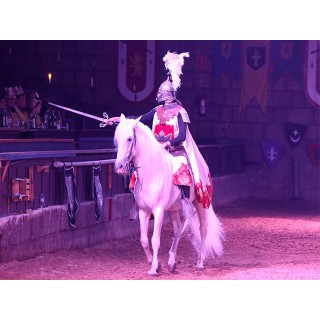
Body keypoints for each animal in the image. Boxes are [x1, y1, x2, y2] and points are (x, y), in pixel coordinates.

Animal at [114, 114, 224, 276]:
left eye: (129, 139)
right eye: (116, 140)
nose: (119, 167)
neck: (152, 172)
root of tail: (204, 167)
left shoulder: (158, 211)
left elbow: (155, 240)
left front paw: (153, 269)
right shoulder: (143, 211)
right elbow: (144, 240)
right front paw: (155, 263)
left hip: (201, 203)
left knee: (203, 229)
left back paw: (200, 263)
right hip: (173, 209)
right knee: (177, 231)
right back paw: (172, 262)